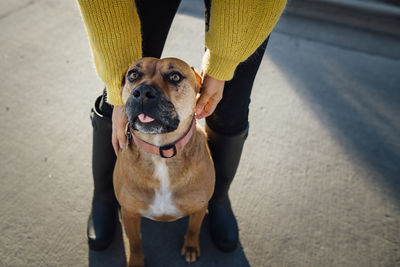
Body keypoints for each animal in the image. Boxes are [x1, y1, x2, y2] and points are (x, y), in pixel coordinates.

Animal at [114, 57, 216, 266]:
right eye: (133, 75)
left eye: (175, 76)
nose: (143, 92)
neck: (160, 152)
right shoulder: (129, 213)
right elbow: (135, 243)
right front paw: (136, 261)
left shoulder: (199, 207)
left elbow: (194, 229)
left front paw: (191, 246)